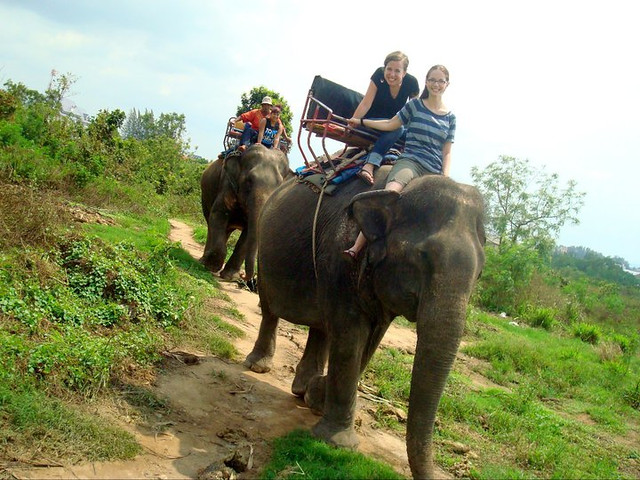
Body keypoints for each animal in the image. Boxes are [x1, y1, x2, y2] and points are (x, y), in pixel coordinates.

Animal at [200, 144, 292, 284]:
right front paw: (212, 267)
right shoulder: (226, 185)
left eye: (278, 186)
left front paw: (230, 277)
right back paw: (203, 262)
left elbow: (248, 234)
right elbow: (218, 214)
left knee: (225, 231)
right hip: (205, 197)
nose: (244, 277)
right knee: (211, 223)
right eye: (249, 180)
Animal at [244, 166, 485, 479]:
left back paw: (301, 389)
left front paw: (316, 398)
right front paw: (336, 441)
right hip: (266, 244)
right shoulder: (341, 254)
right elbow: (350, 335)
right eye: (422, 257)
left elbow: (372, 339)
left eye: (480, 273)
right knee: (270, 306)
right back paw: (259, 366)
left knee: (321, 327)